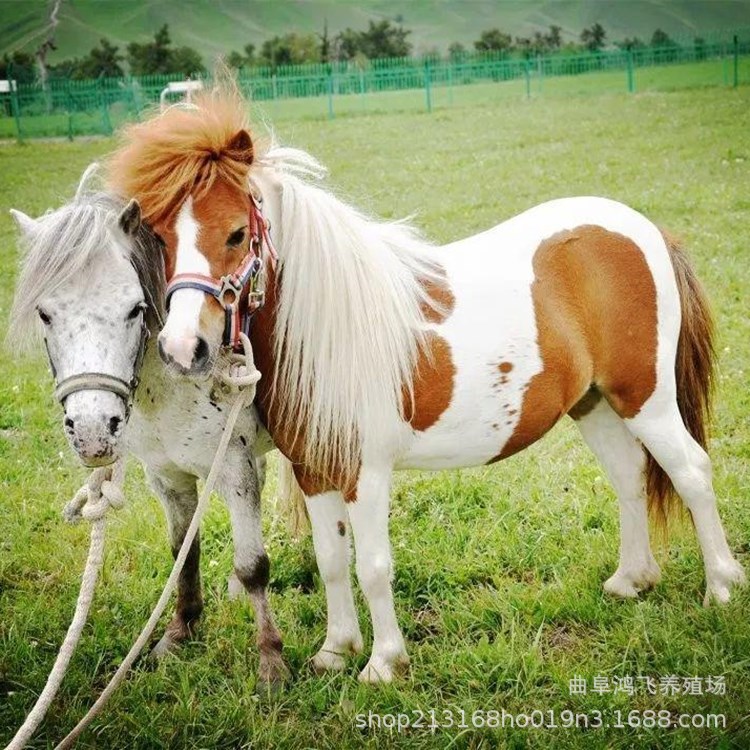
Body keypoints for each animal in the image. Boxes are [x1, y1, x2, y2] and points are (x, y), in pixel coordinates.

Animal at [8, 175, 288, 689]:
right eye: (44, 314)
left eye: (136, 309)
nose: (93, 431)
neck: (173, 384)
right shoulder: (167, 476)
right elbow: (183, 551)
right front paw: (179, 634)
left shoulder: (232, 469)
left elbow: (254, 563)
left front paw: (271, 663)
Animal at [105, 86, 745, 684]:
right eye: (159, 237)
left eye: (238, 234)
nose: (183, 348)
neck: (329, 324)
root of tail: (645, 229)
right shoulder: (315, 470)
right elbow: (332, 558)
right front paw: (336, 651)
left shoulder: (364, 472)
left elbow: (373, 566)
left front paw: (384, 663)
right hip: (595, 403)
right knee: (630, 476)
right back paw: (631, 580)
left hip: (646, 398)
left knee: (690, 471)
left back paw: (721, 587)